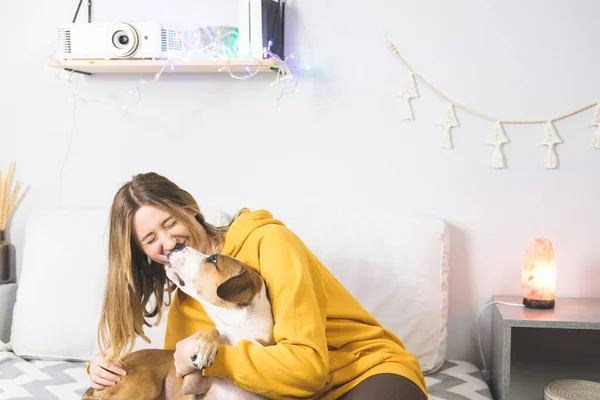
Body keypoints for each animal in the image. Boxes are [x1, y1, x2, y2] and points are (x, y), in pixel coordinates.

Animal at [82, 248, 274, 398]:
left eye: (213, 259)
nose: (177, 246)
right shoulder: (190, 383)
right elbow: (218, 331)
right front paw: (205, 349)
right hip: (143, 385)